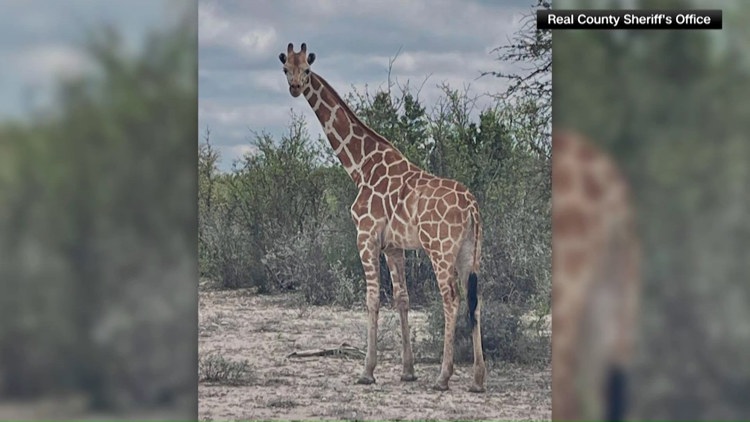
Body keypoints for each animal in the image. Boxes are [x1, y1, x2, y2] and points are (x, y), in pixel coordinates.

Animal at [278, 42, 486, 392]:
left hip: (440, 249)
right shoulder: (393, 245)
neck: (361, 167)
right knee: (475, 299)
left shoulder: (366, 235)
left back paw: (443, 377)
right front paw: (407, 370)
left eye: (306, 69)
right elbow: (402, 298)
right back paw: (478, 379)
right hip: (470, 251)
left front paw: (367, 371)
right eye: (285, 69)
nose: (294, 87)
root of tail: (472, 206)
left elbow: (372, 298)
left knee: (451, 298)